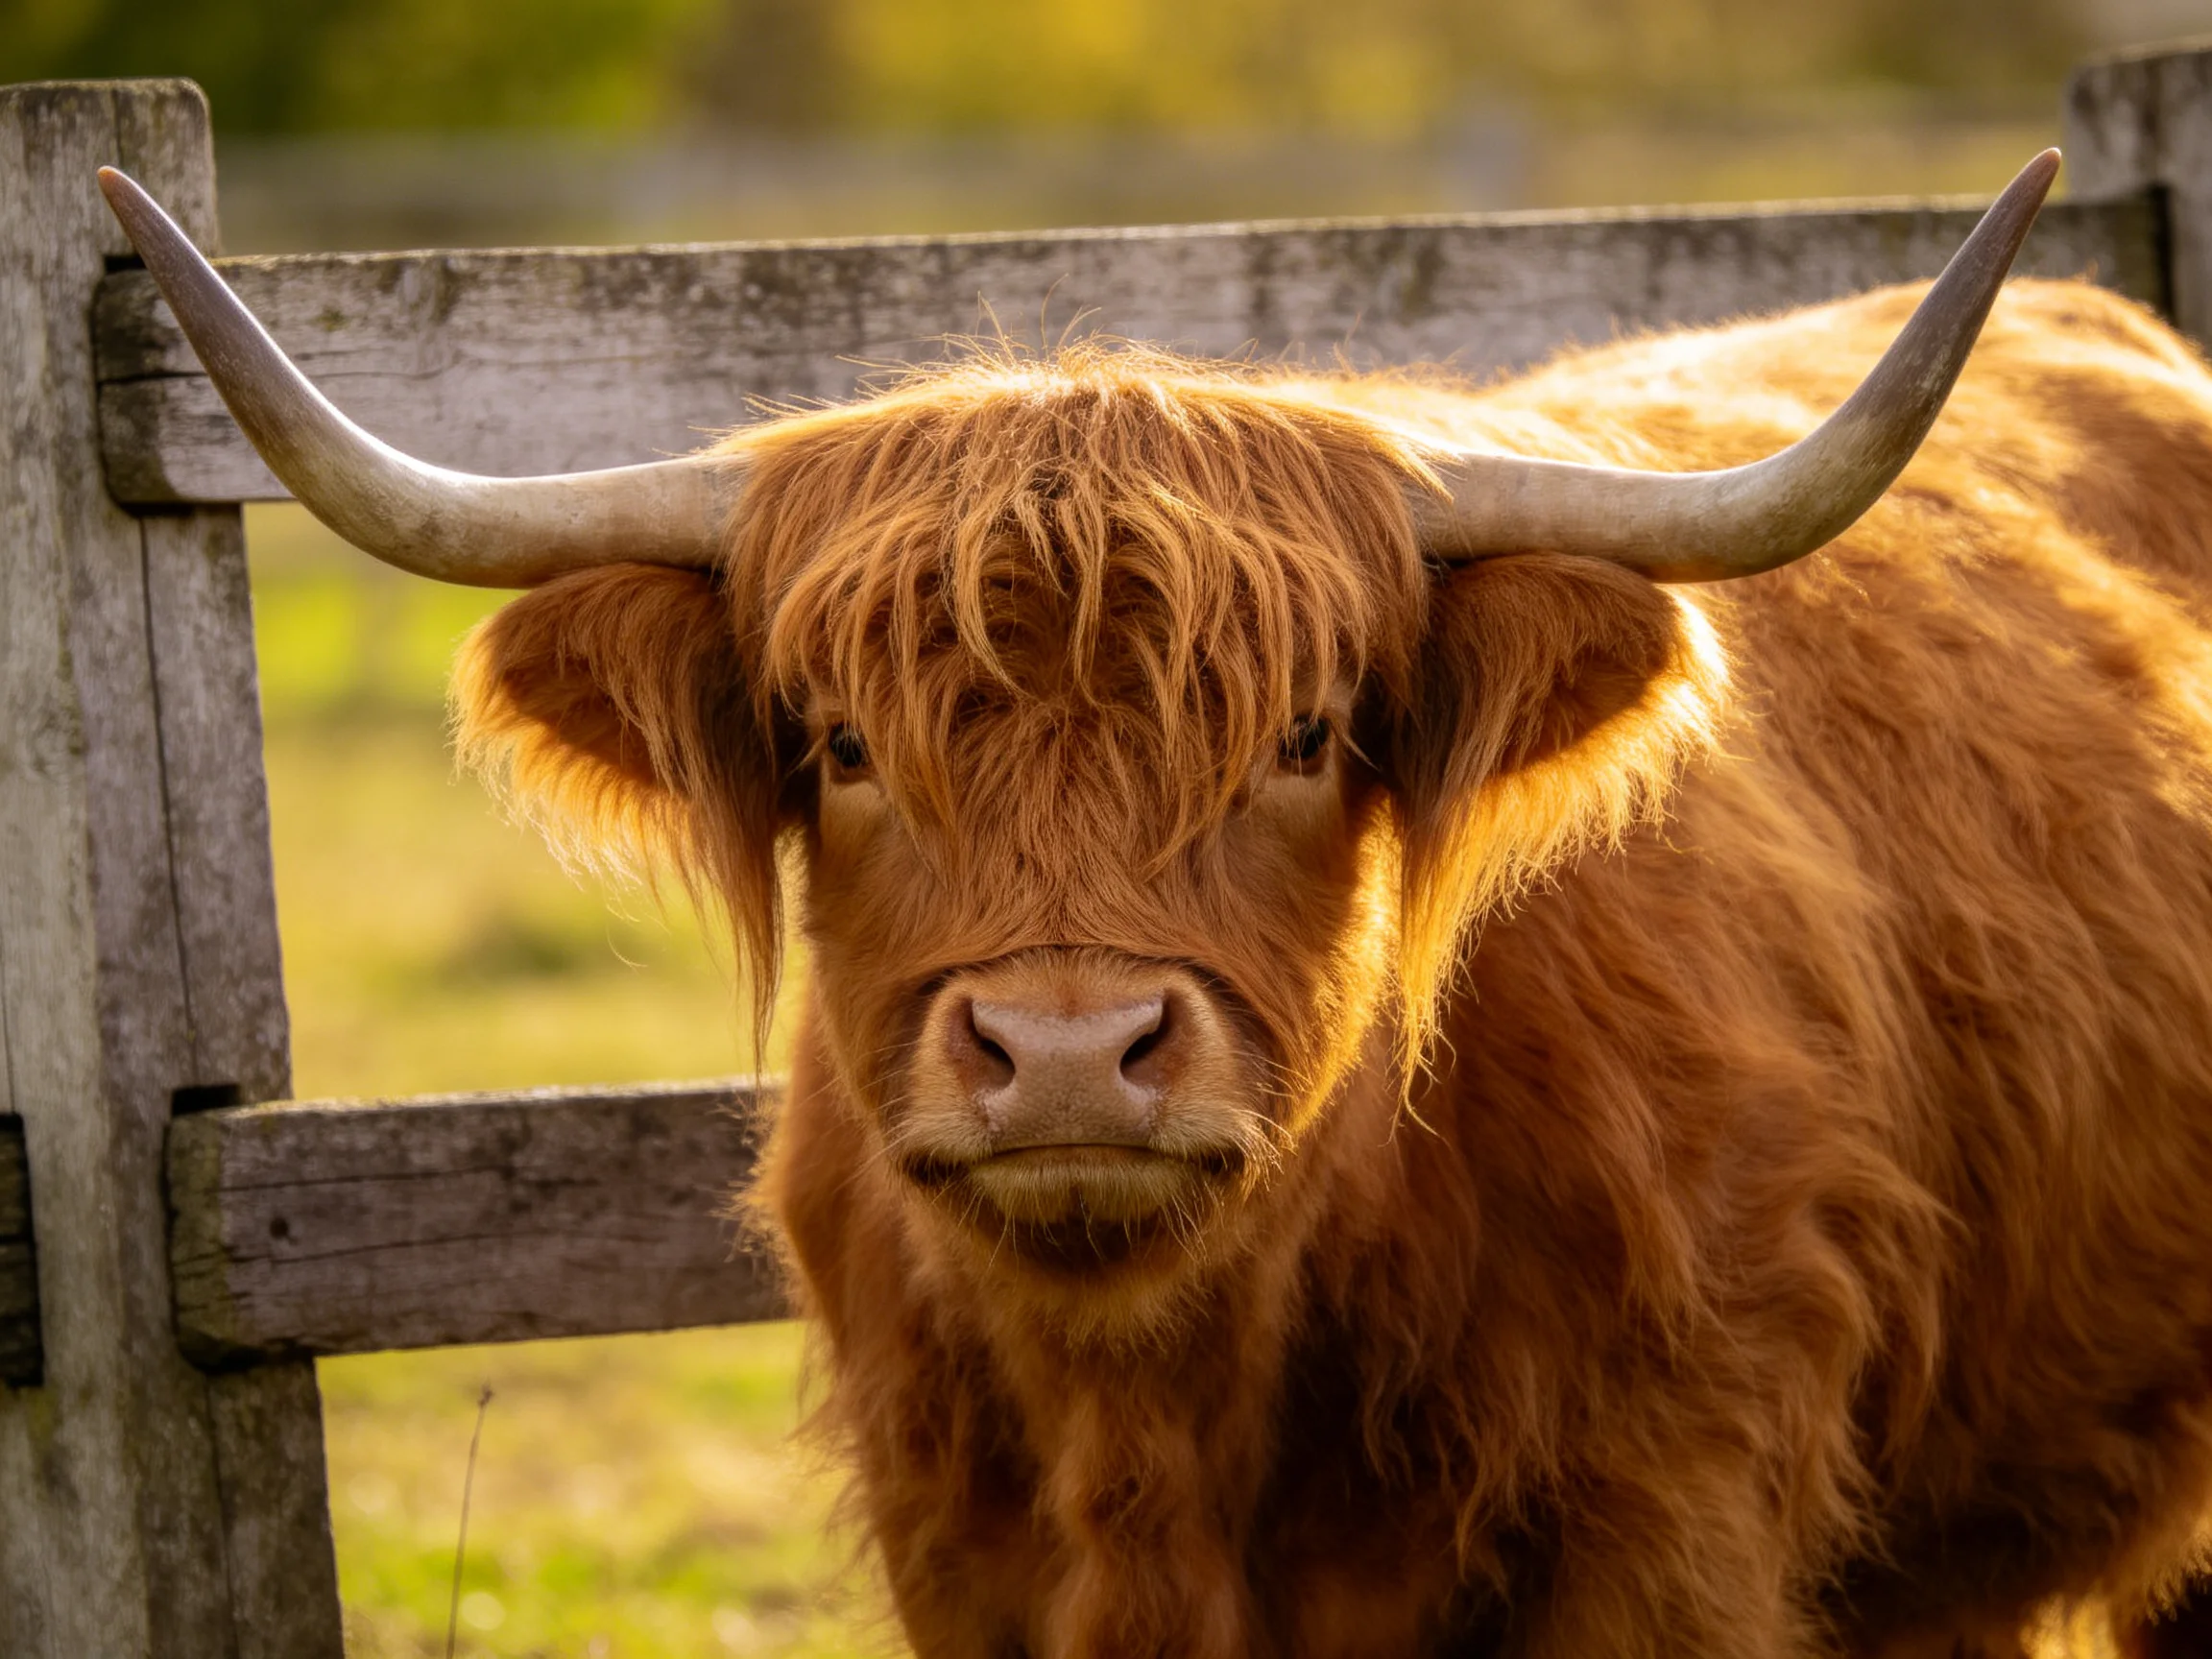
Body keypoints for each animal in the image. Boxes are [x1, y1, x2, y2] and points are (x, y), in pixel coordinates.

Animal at [103, 153, 2212, 1658]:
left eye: (1302, 732)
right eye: (841, 745)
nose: (1062, 1054)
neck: (1169, 1403)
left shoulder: (1678, 1512)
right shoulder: (964, 1551)